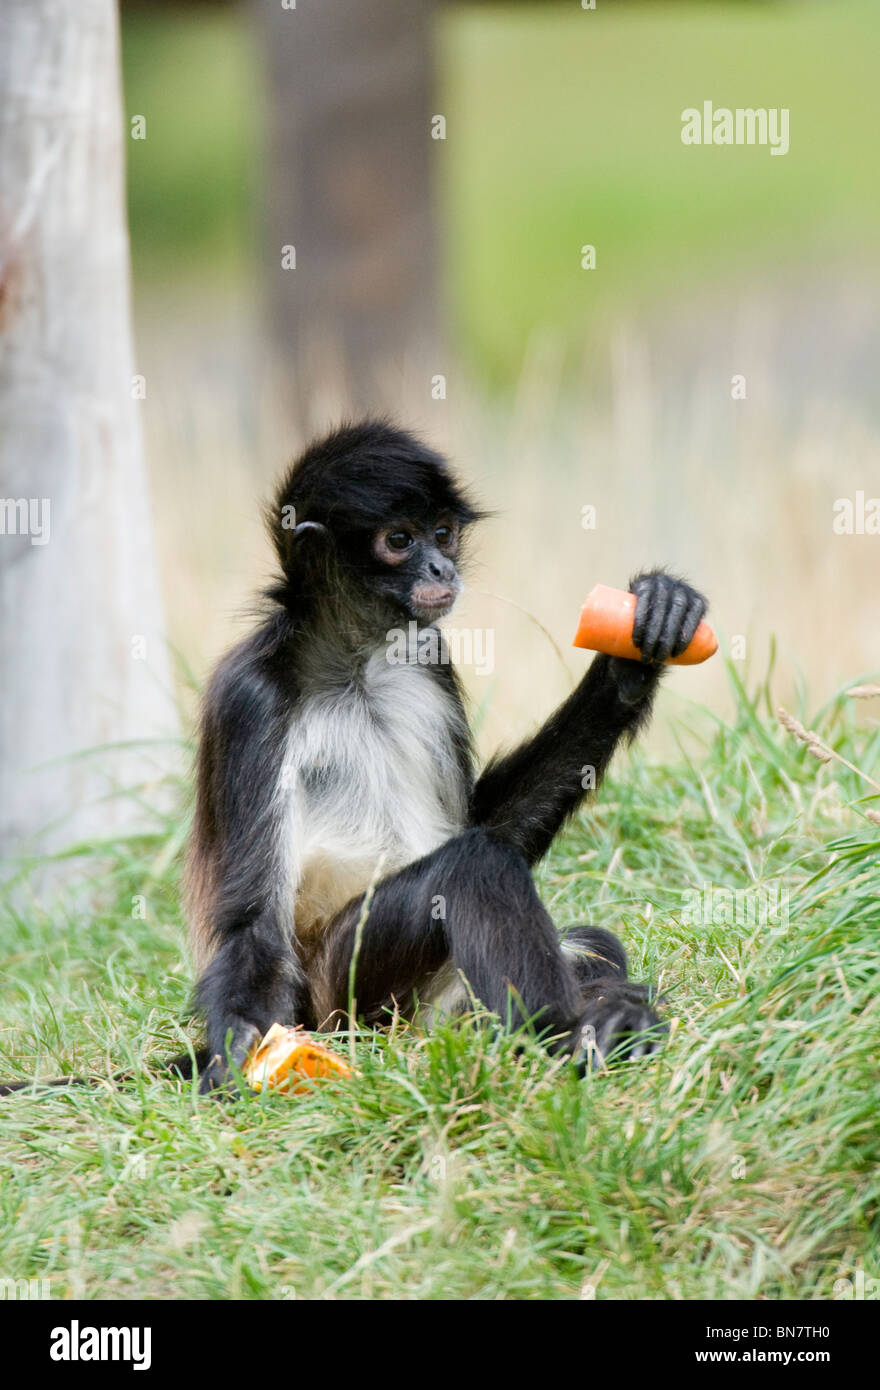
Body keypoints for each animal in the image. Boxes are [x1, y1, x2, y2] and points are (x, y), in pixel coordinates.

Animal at [185, 420, 708, 1094]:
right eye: (398, 540)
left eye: (442, 534)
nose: (441, 565)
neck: (356, 667)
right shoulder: (248, 697)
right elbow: (253, 923)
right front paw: (237, 1048)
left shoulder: (430, 657)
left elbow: (488, 823)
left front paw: (629, 661)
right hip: (344, 991)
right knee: (472, 866)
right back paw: (576, 1032)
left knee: (584, 936)